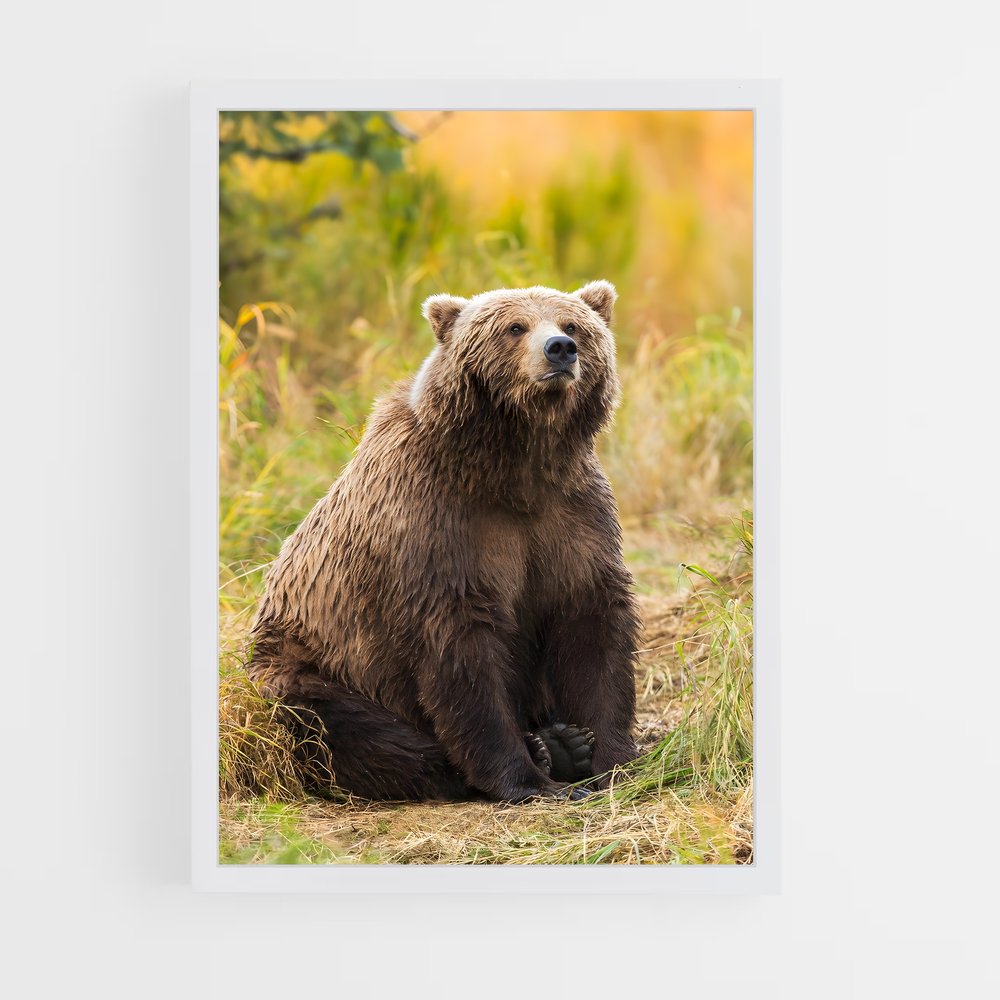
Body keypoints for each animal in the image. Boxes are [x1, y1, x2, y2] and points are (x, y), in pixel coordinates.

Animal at [247, 280, 640, 802]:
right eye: (515, 327)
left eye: (572, 324)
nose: (559, 349)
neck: (513, 466)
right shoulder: (435, 523)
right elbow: (460, 648)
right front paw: (528, 778)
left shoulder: (571, 515)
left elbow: (591, 623)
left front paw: (612, 756)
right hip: (304, 663)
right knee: (341, 727)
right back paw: (536, 752)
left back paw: (564, 744)